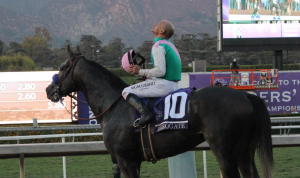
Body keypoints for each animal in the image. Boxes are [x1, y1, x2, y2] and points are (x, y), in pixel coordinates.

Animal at [45, 46, 274, 178]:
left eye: (62, 67)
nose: (48, 89)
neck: (114, 104)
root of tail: (246, 96)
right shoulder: (130, 161)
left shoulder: (125, 160)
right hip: (244, 152)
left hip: (225, 152)